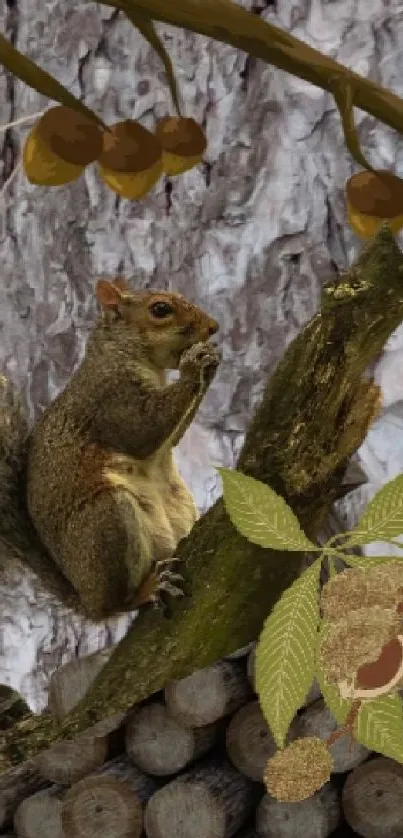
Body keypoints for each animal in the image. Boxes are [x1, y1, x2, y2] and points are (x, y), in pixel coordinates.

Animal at [0, 280, 221, 624]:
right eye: (160, 309)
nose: (213, 328)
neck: (119, 352)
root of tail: (86, 600)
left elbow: (170, 439)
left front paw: (210, 362)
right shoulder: (110, 400)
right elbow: (143, 430)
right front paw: (193, 366)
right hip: (108, 521)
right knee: (115, 605)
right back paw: (146, 590)